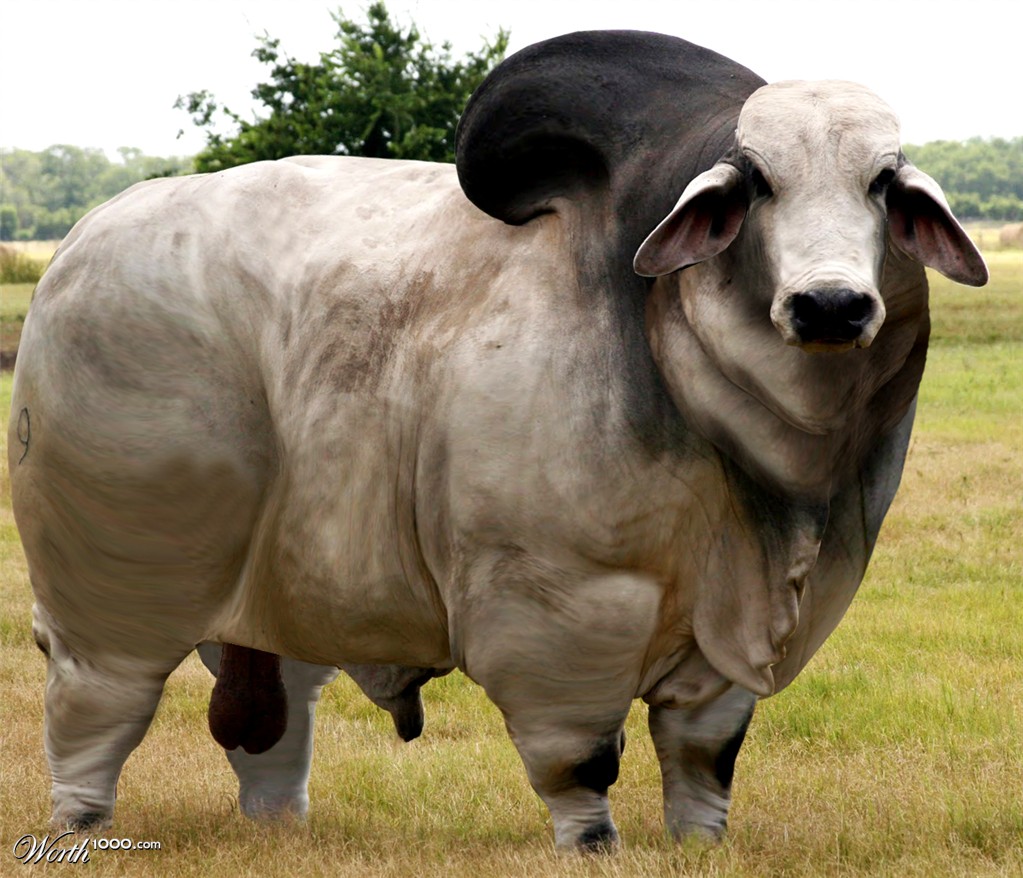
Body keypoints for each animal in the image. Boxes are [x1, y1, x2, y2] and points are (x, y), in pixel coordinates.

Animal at [8, 30, 986, 851]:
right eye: (757, 182)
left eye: (881, 181)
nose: (829, 305)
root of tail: (80, 245)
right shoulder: (555, 609)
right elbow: (580, 760)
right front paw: (591, 847)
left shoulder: (722, 653)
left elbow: (703, 757)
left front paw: (698, 845)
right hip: (116, 590)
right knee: (97, 708)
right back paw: (81, 830)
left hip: (268, 601)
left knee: (273, 721)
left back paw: (281, 829)